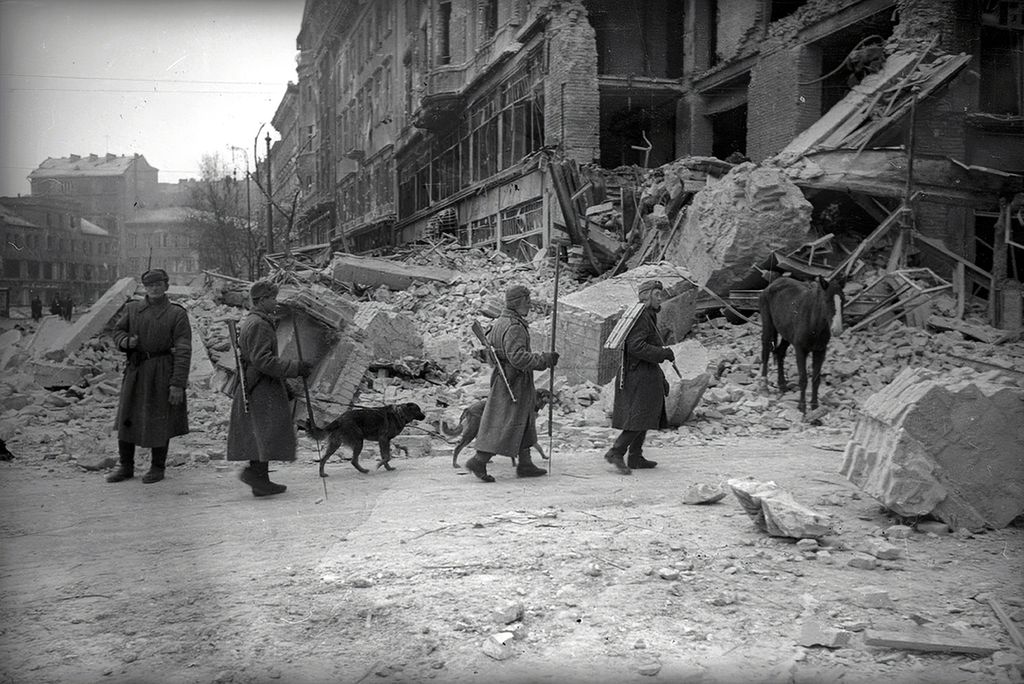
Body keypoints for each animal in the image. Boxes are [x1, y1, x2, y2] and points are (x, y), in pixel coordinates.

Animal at [757, 274, 843, 413]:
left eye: (843, 300)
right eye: (826, 301)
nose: (837, 330)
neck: (814, 324)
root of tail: (772, 284)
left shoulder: (820, 351)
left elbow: (816, 379)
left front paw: (814, 406)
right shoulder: (800, 350)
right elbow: (803, 379)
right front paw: (802, 407)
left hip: (786, 334)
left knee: (779, 353)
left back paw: (782, 384)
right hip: (768, 325)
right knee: (766, 351)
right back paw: (764, 386)